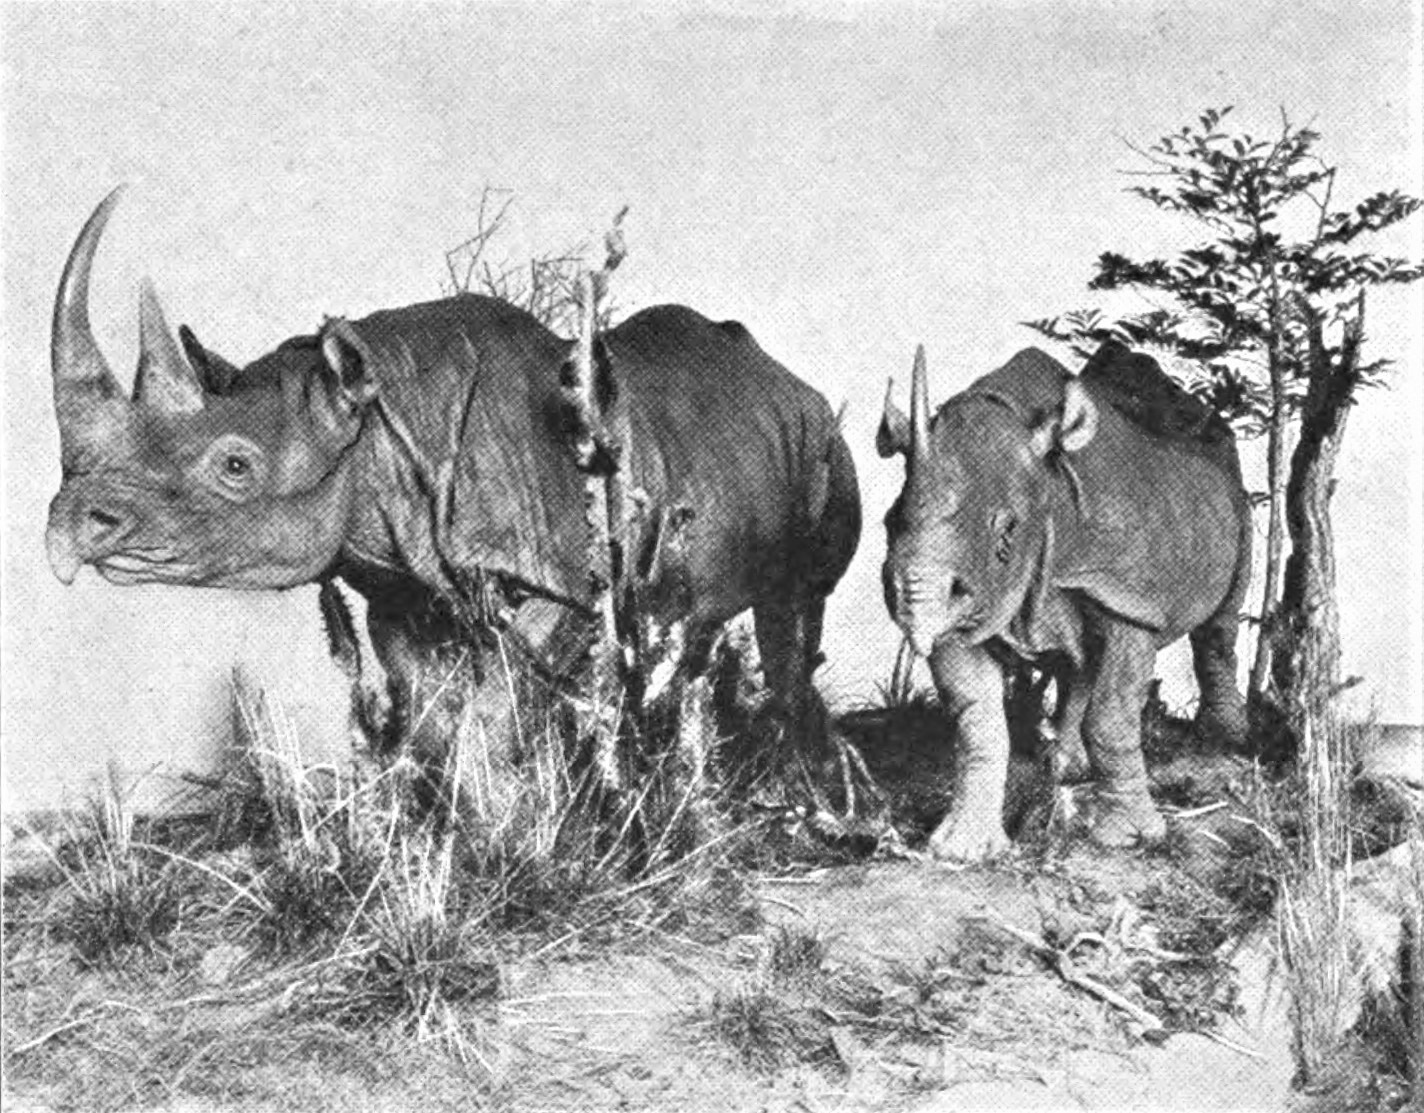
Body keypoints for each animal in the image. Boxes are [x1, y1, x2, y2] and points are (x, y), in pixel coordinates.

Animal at [44, 188, 861, 769]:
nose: (71, 527)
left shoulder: (561, 583)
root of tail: (790, 380)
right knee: (691, 626)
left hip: (827, 440)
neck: (374, 418)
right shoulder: (401, 586)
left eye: (236, 466)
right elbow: (430, 713)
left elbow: (500, 711)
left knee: (794, 606)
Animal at [878, 341, 1250, 860]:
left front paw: (1130, 838)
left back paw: (1224, 740)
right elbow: (978, 720)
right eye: (889, 523)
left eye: (1007, 530)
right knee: (1080, 661)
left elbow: (1112, 716)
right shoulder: (968, 600)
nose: (905, 594)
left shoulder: (1125, 598)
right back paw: (1064, 765)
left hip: (1235, 493)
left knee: (1220, 623)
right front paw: (962, 849)